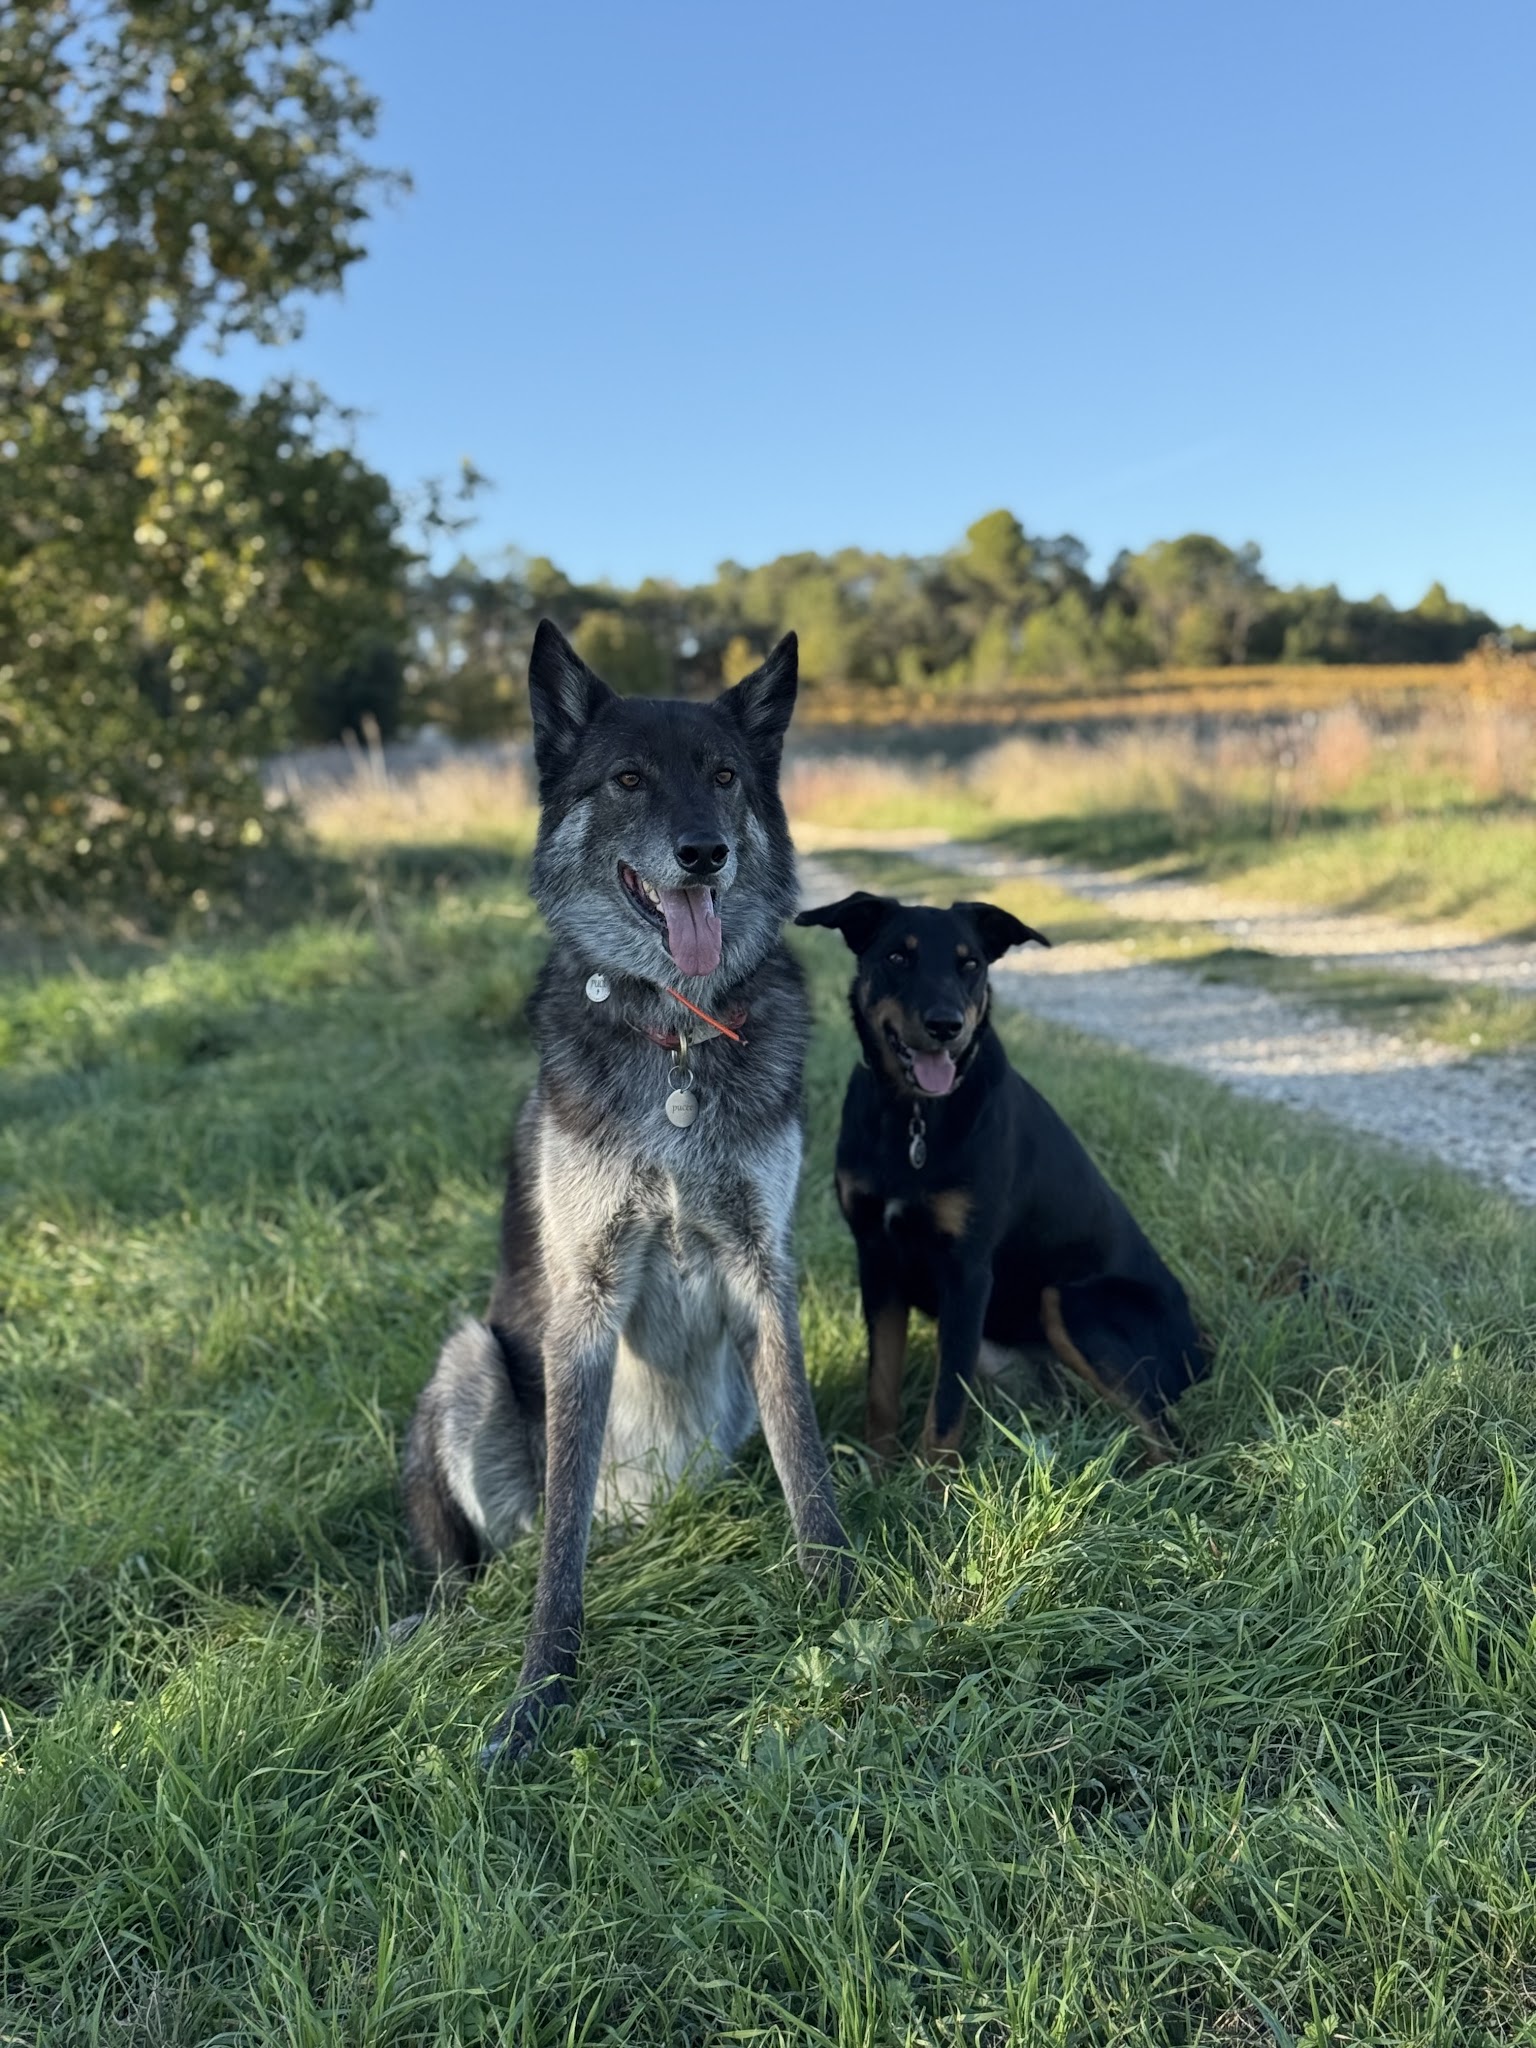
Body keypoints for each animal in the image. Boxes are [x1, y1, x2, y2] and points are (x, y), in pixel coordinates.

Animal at [402, 621, 850, 1764]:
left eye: (725, 775)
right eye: (630, 778)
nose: (703, 852)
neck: (677, 1035)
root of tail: (649, 1519)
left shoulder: (764, 1276)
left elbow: (805, 1453)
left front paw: (842, 1591)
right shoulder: (585, 1307)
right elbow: (559, 1547)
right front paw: (539, 1692)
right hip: (469, 1361)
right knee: (487, 1562)